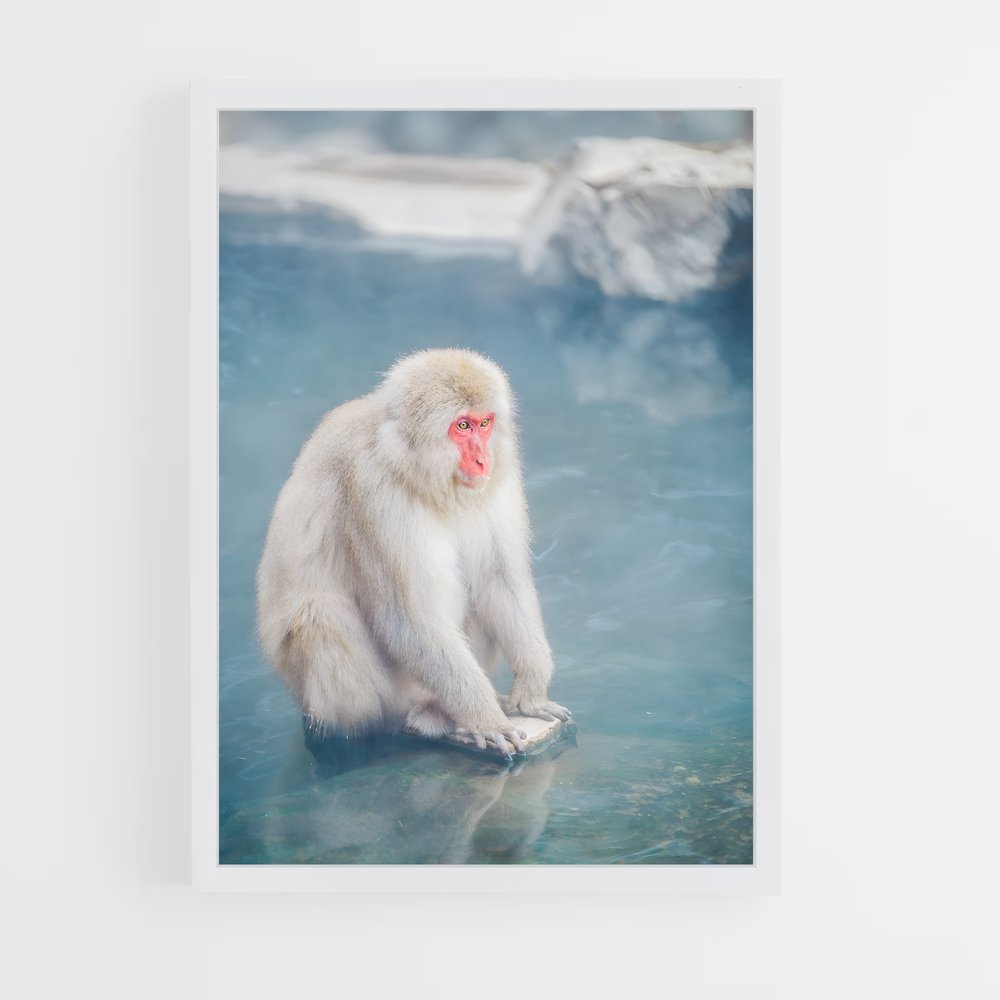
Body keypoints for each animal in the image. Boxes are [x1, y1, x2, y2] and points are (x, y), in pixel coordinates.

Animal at [256, 348, 570, 760]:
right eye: (462, 426)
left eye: (485, 423)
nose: (483, 460)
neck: (412, 468)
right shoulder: (373, 490)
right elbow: (407, 617)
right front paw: (484, 717)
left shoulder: (497, 481)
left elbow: (499, 582)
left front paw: (532, 691)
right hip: (375, 692)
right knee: (318, 618)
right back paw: (413, 721)